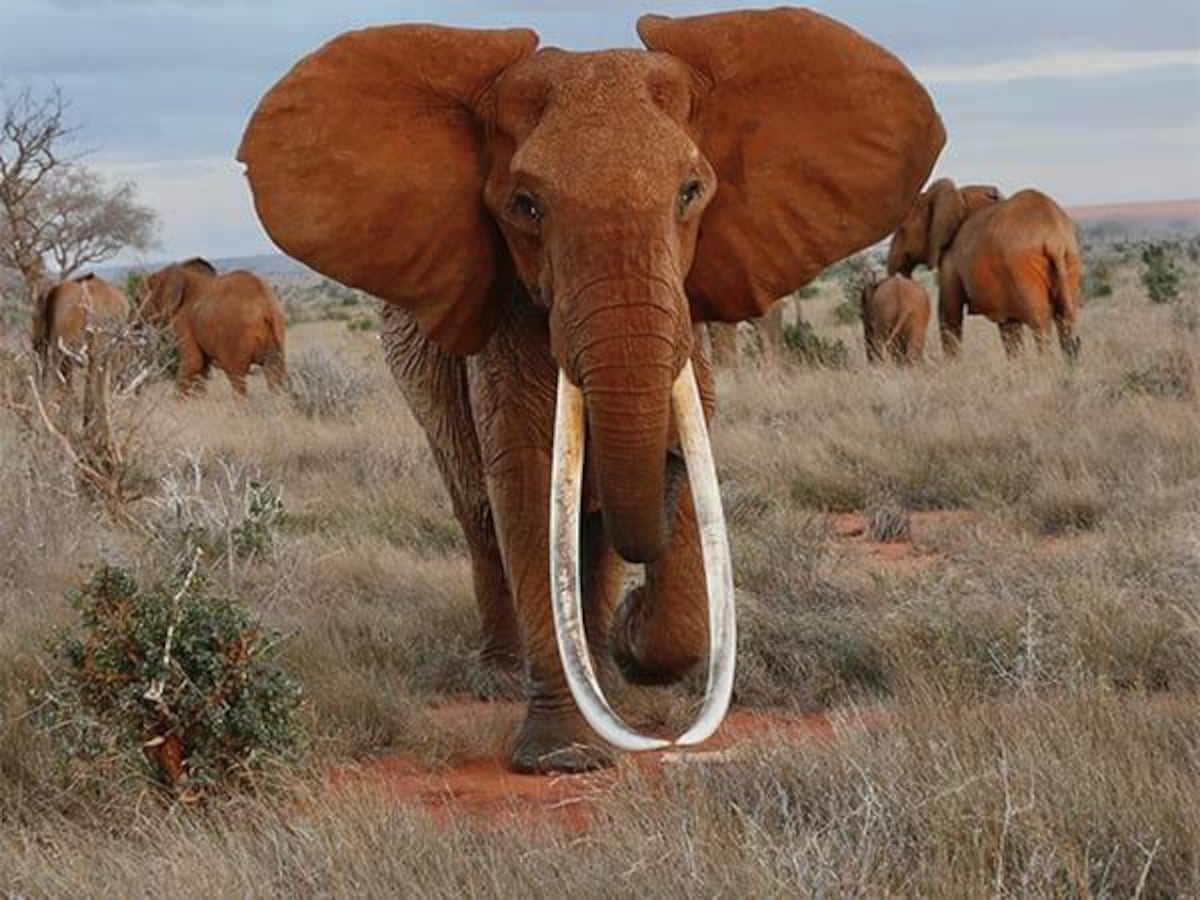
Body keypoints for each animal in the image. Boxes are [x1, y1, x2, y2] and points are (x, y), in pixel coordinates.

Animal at [138, 257, 288, 395]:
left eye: (141, 298)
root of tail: (266, 307)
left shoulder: (183, 320)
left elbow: (193, 361)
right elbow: (202, 366)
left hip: (236, 336)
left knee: (237, 377)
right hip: (277, 329)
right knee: (274, 371)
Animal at [239, 8, 944, 772]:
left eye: (690, 192)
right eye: (525, 206)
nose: (668, 463)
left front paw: (626, 652)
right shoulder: (508, 316)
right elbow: (526, 481)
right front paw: (563, 758)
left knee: (594, 531)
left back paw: (603, 675)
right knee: (480, 512)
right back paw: (502, 677)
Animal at [887, 179, 1082, 359]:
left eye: (901, 229)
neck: (959, 196)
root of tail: (1054, 239)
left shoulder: (952, 258)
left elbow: (948, 313)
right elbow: (1010, 327)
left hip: (1023, 267)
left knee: (1040, 323)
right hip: (1070, 260)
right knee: (1066, 319)